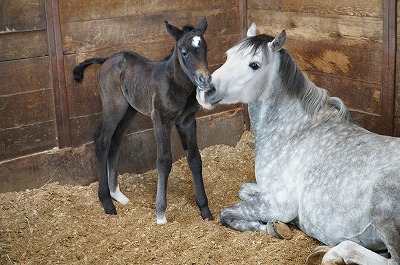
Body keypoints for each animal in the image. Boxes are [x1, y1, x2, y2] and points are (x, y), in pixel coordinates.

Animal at [74, 17, 214, 223]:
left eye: (206, 49)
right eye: (184, 52)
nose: (204, 79)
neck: (176, 84)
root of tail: (106, 60)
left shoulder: (187, 121)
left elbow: (195, 159)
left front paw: (205, 211)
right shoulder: (161, 120)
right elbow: (164, 161)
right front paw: (161, 214)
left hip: (129, 110)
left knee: (116, 139)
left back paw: (118, 195)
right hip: (114, 106)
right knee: (102, 139)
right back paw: (107, 202)